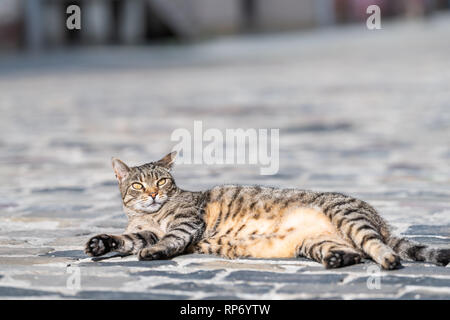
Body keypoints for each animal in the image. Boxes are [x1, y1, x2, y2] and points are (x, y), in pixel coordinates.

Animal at [85, 151, 450, 268]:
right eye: (137, 185)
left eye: (162, 181)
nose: (152, 194)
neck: (151, 215)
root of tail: (378, 218)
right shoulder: (141, 232)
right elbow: (126, 239)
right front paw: (101, 243)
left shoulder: (186, 223)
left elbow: (169, 239)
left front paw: (155, 252)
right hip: (315, 242)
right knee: (354, 252)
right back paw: (337, 260)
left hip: (348, 218)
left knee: (379, 247)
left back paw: (388, 260)